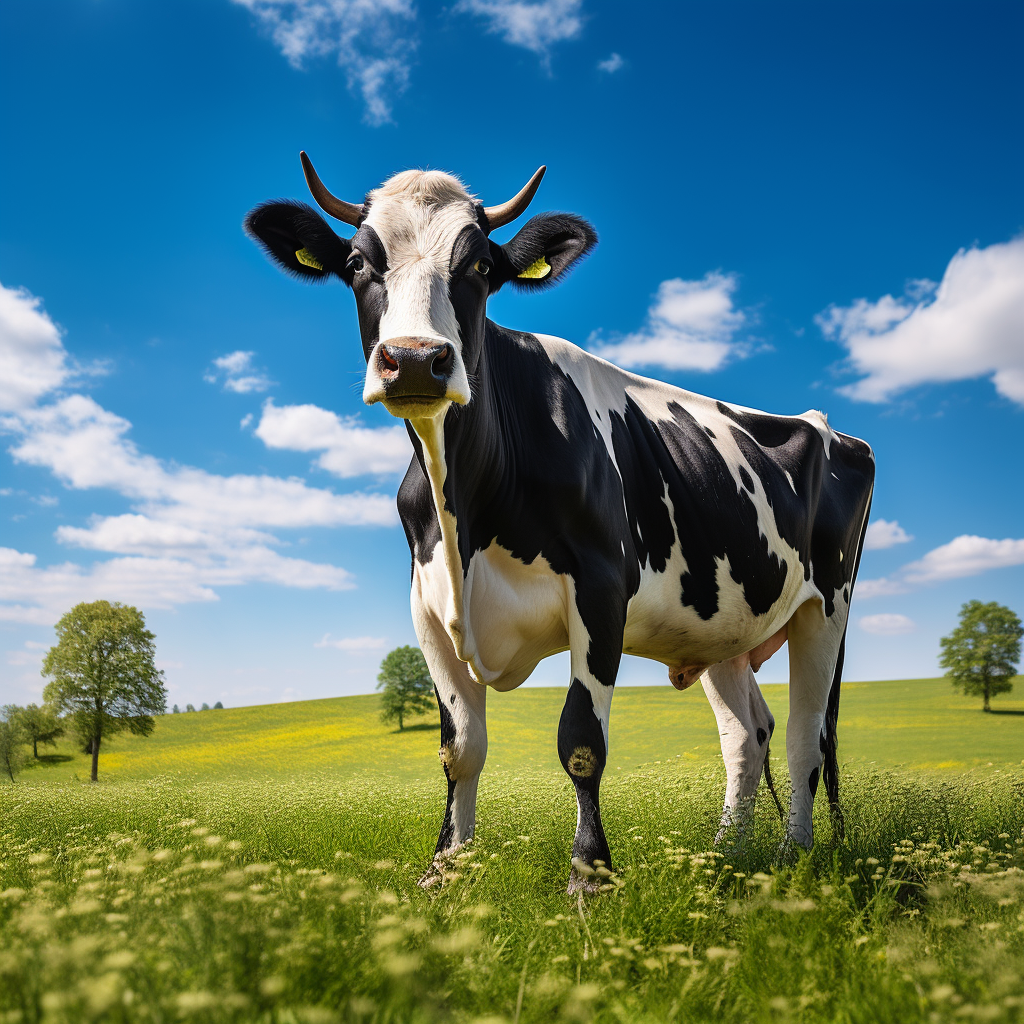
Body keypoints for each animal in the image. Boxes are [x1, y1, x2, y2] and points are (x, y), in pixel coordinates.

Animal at [245, 155, 872, 892]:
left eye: (479, 265)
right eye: (355, 261)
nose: (417, 358)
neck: (466, 506)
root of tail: (830, 429)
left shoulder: (600, 589)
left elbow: (580, 741)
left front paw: (590, 876)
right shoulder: (426, 606)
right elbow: (460, 749)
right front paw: (443, 872)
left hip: (825, 607)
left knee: (807, 737)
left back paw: (790, 859)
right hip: (722, 624)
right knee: (749, 735)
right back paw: (723, 857)